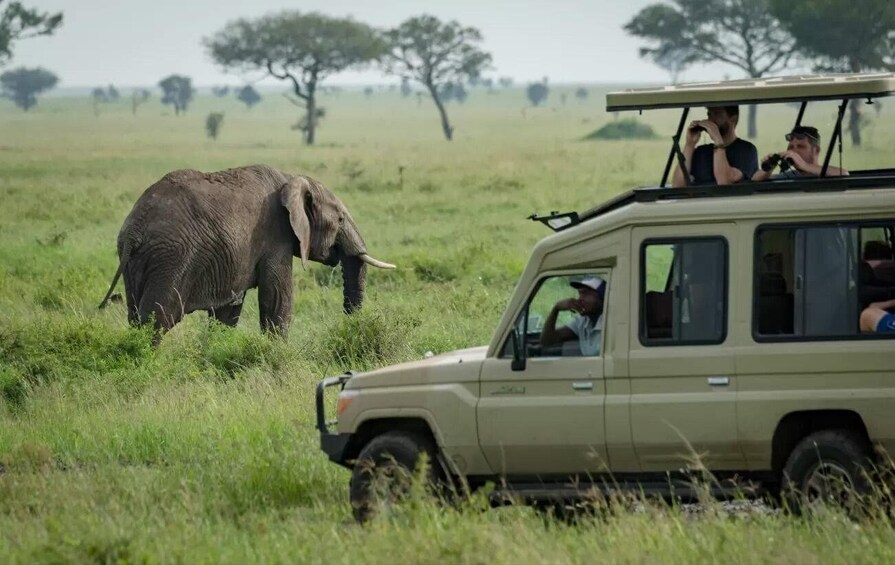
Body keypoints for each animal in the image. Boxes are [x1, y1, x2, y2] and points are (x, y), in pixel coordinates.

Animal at [98, 164, 394, 337]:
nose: (349, 322)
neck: (291, 178)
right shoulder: (275, 235)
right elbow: (277, 298)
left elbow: (229, 310)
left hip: (135, 262)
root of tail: (135, 229)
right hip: (171, 258)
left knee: (136, 316)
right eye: (341, 219)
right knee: (156, 318)